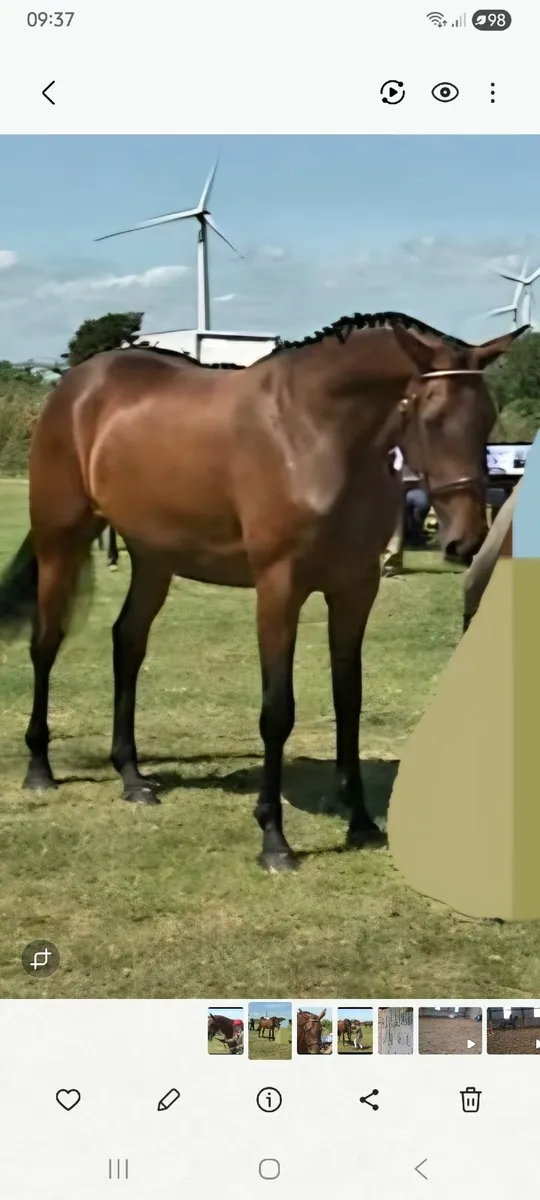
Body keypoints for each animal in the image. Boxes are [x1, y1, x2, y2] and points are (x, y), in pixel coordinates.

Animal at [0, 311, 523, 871]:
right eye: (433, 416)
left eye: (487, 418)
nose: (467, 540)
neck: (315, 433)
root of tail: (75, 385)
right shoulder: (279, 589)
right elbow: (277, 711)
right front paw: (274, 838)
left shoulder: (355, 589)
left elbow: (349, 700)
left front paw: (360, 820)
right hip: (61, 540)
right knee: (45, 643)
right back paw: (39, 769)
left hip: (154, 559)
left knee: (128, 642)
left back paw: (133, 777)